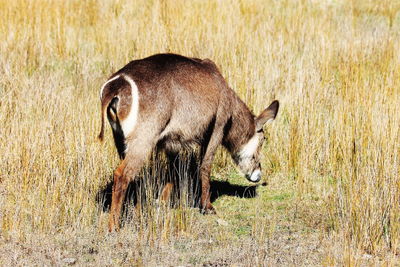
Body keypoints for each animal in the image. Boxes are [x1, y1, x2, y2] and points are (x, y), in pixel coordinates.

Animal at [99, 53, 280, 231]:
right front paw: (207, 207)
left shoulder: (171, 142)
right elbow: (205, 166)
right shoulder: (217, 128)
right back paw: (114, 226)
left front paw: (162, 201)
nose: (258, 174)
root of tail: (116, 85)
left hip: (120, 139)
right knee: (122, 174)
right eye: (263, 140)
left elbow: (173, 171)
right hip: (143, 140)